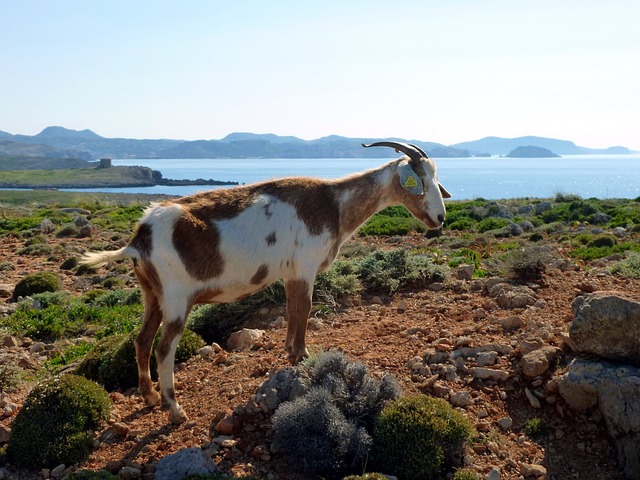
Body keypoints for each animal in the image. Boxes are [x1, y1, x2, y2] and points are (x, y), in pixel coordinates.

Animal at [81, 141, 450, 422]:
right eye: (419, 179)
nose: (439, 217)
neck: (334, 204)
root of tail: (139, 238)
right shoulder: (305, 266)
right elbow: (304, 309)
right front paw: (301, 355)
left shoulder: (289, 273)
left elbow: (291, 310)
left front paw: (290, 351)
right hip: (176, 296)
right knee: (163, 348)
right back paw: (174, 409)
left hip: (152, 294)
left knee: (142, 340)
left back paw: (149, 397)